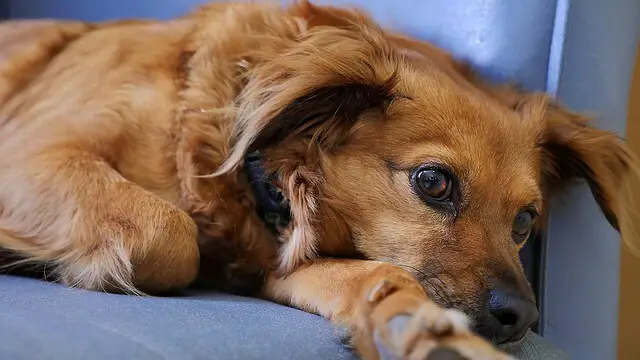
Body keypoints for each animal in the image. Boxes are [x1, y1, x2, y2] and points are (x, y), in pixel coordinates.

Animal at [0, 1, 632, 358]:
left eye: (525, 221)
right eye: (434, 182)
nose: (521, 317)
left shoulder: (271, 264)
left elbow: (377, 277)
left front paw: (427, 333)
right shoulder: (30, 152)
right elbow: (167, 235)